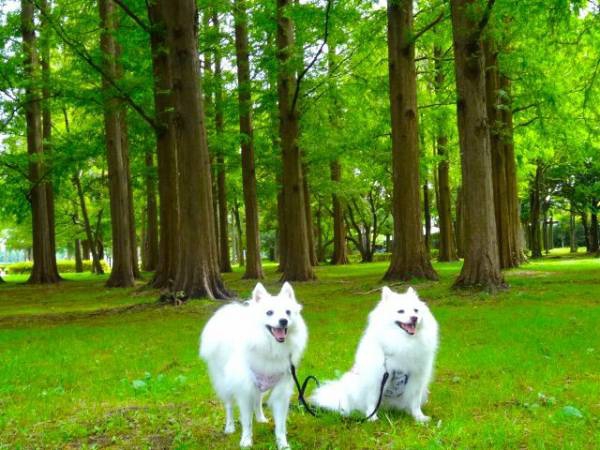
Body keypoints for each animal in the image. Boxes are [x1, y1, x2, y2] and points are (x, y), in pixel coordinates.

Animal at [199, 284, 308, 448]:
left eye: (288, 312)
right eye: (269, 312)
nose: (283, 321)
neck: (270, 348)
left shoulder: (281, 392)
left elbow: (280, 425)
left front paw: (283, 444)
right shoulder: (244, 390)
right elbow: (246, 421)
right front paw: (246, 441)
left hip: (259, 386)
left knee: (258, 401)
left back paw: (261, 418)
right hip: (225, 382)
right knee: (229, 405)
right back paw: (229, 427)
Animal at [310, 288, 436, 422]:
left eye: (416, 310)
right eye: (401, 311)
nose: (414, 318)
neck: (403, 342)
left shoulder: (417, 378)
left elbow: (415, 401)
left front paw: (419, 417)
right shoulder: (377, 379)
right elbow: (372, 400)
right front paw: (372, 417)